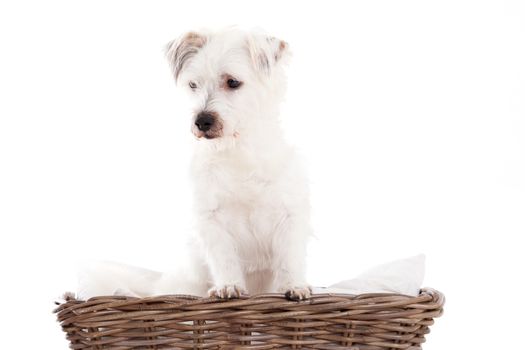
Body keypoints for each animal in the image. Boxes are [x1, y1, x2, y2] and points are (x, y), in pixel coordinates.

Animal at [164, 28, 312, 300]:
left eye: (232, 82)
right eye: (193, 85)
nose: (202, 121)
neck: (238, 151)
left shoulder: (289, 215)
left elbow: (290, 259)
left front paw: (294, 286)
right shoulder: (211, 220)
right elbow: (224, 258)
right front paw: (229, 286)